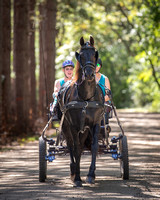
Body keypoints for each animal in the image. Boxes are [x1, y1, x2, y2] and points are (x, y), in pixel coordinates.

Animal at [58, 35, 104, 186]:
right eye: (81, 56)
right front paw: (77, 177)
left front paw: (90, 175)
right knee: (71, 145)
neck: (86, 98)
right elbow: (76, 147)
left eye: (95, 54)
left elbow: (94, 146)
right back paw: (73, 171)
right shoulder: (73, 125)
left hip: (84, 129)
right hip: (66, 126)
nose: (89, 74)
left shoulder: (95, 123)